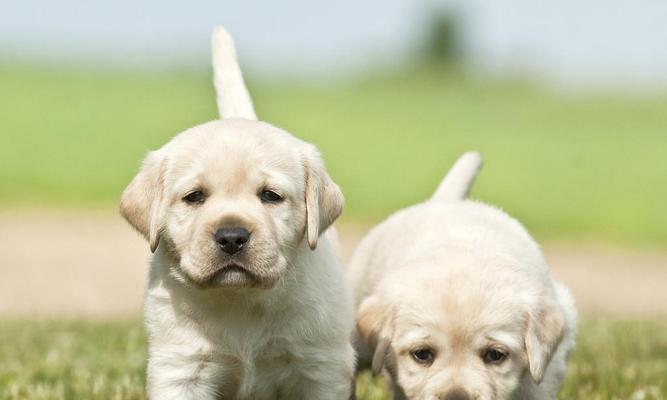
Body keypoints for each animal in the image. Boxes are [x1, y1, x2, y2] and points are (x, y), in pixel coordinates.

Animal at [122, 26, 358, 398]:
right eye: (194, 197)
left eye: (270, 196)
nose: (232, 237)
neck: (240, 300)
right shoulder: (181, 366)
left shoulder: (320, 367)